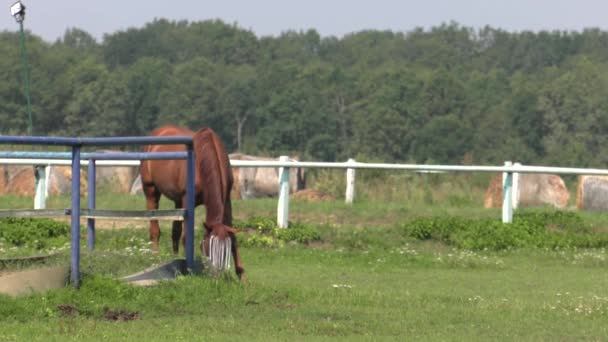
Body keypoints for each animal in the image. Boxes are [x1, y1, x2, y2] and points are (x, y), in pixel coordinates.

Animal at [141, 124, 245, 280]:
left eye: (225, 251)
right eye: (207, 248)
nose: (216, 277)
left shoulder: (226, 200)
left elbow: (233, 237)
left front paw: (242, 276)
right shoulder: (186, 200)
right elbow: (186, 238)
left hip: (177, 201)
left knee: (175, 231)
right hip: (151, 192)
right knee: (154, 229)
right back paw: (155, 258)